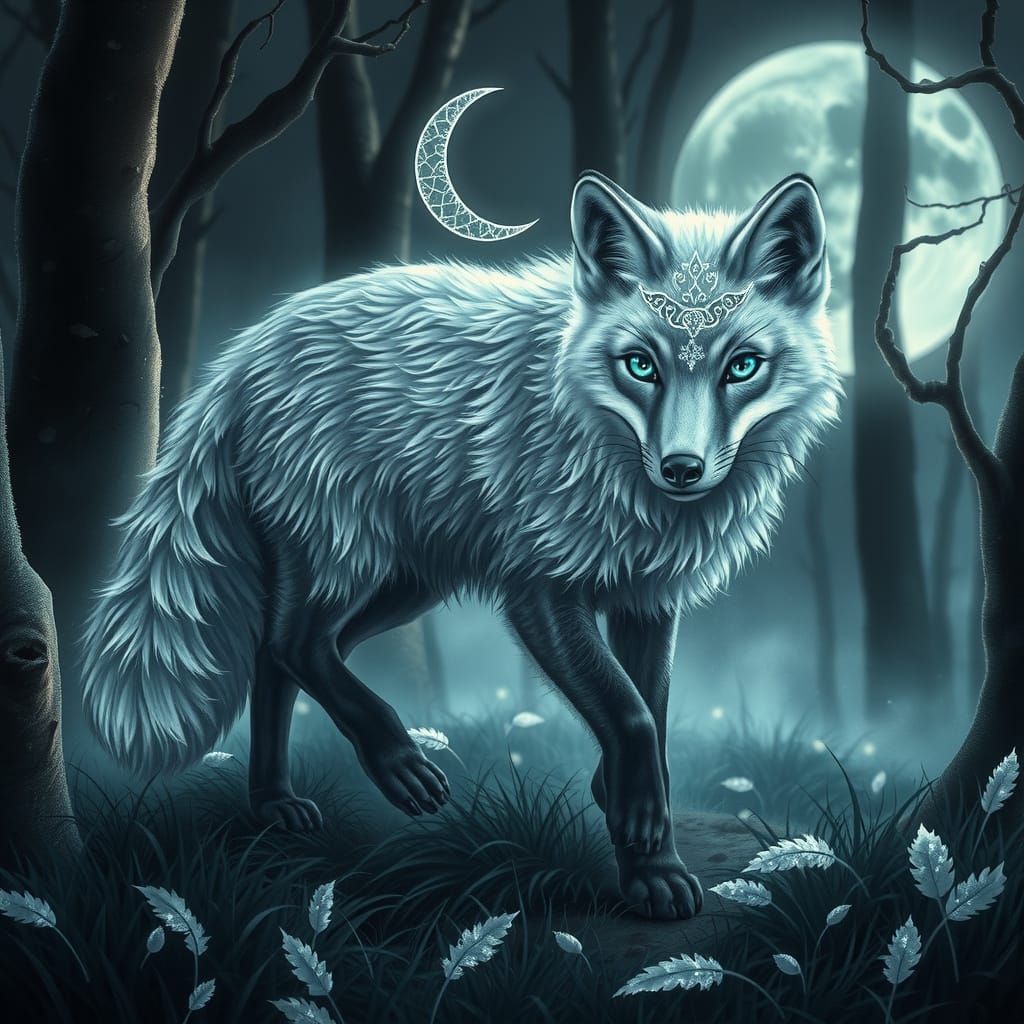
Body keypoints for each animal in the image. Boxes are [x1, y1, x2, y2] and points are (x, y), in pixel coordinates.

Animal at [82, 170, 840, 920]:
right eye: (640, 366)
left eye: (742, 367)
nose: (681, 469)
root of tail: (246, 351)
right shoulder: (539, 589)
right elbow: (631, 718)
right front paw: (648, 862)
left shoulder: (646, 598)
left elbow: (648, 709)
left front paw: (629, 810)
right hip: (346, 560)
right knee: (290, 645)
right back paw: (395, 763)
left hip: (403, 586)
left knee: (279, 655)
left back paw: (274, 801)